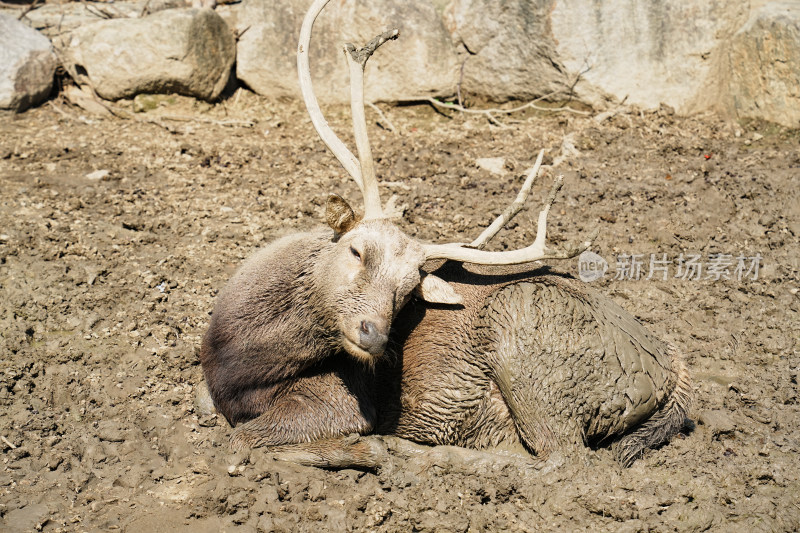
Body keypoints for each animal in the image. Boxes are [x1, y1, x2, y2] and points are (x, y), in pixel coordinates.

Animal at [197, 0, 692, 470]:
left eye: (408, 290)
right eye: (356, 250)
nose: (374, 335)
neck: (234, 364)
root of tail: (674, 369)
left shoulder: (344, 399)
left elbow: (241, 443)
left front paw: (359, 450)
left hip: (526, 333)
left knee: (566, 460)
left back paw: (417, 454)